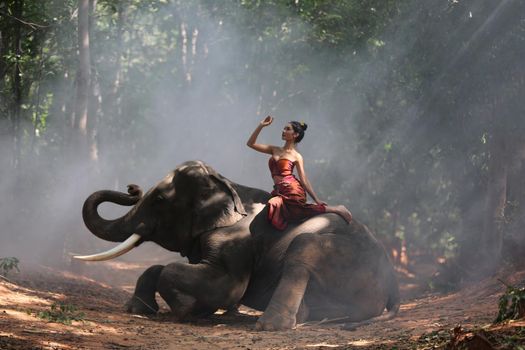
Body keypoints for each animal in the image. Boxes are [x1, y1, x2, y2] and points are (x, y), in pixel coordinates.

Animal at [77, 160, 398, 330]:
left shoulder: (236, 242)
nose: (132, 188)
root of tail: (391, 286)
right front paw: (139, 310)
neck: (227, 183)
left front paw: (185, 310)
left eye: (159, 200)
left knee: (303, 248)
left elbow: (227, 285)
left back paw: (270, 325)